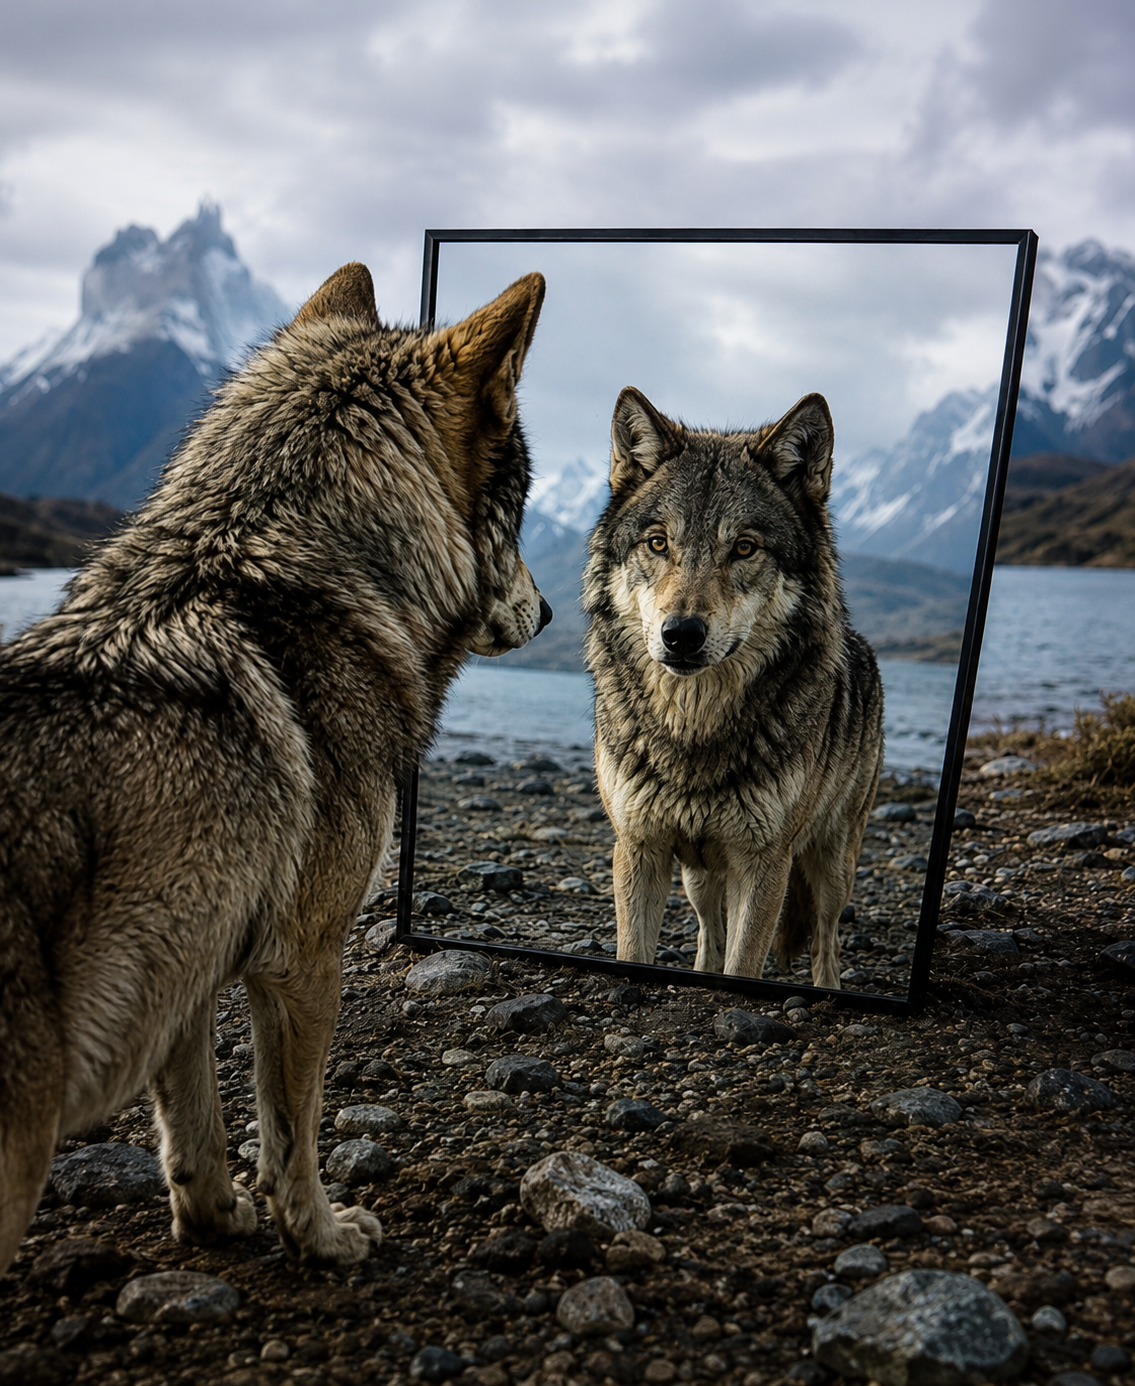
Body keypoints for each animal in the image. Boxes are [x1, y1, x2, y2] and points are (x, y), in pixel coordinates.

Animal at [0, 263, 549, 1275]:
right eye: (524, 510)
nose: (549, 613)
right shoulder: (304, 959)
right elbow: (290, 1127)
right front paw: (321, 1236)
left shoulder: (184, 961)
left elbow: (196, 1128)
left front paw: (216, 1222)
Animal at [584, 387, 883, 989]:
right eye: (658, 543)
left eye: (744, 548)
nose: (681, 634)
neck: (693, 728)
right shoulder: (639, 848)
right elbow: (639, 951)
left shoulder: (765, 862)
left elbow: (745, 962)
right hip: (699, 872)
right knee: (708, 928)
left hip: (833, 862)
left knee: (826, 936)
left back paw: (829, 988)